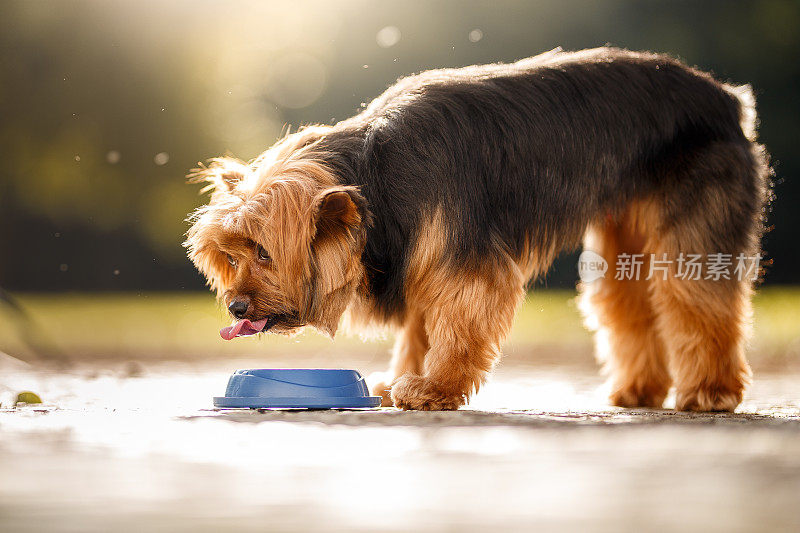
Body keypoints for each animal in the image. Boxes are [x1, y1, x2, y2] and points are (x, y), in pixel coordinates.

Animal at [184, 46, 772, 412]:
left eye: (263, 251)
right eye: (230, 256)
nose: (235, 307)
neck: (374, 172)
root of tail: (726, 99)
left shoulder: (463, 262)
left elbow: (458, 321)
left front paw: (435, 388)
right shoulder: (423, 252)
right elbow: (419, 328)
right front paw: (405, 379)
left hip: (695, 223)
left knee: (696, 299)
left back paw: (712, 393)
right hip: (623, 234)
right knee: (627, 301)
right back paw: (638, 389)